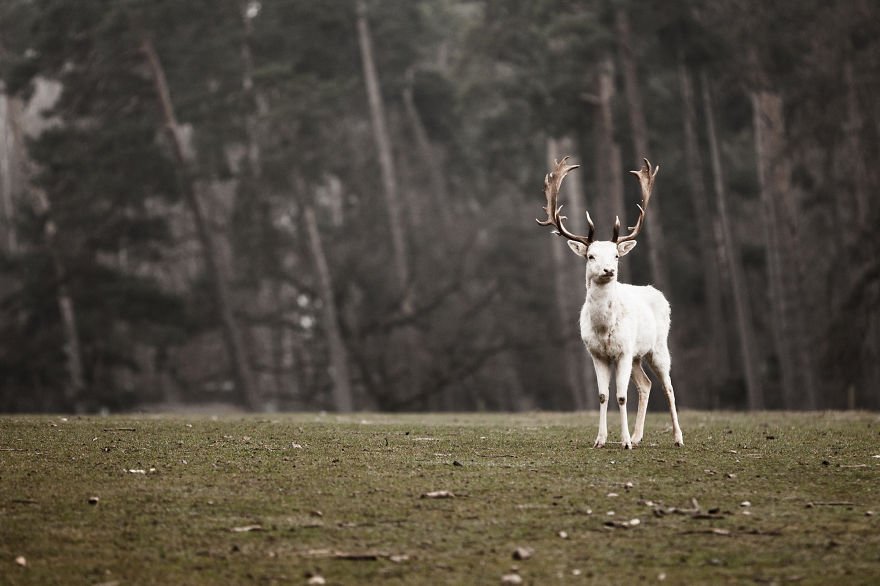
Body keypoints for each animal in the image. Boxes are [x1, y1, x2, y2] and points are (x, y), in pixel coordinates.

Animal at [536, 155, 688, 448]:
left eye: (616, 255)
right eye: (591, 256)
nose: (609, 270)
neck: (604, 327)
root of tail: (658, 294)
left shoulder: (624, 350)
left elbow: (621, 396)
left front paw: (624, 441)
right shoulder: (597, 353)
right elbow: (604, 395)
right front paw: (601, 439)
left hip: (658, 347)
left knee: (668, 386)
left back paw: (677, 438)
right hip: (638, 356)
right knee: (646, 385)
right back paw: (639, 436)